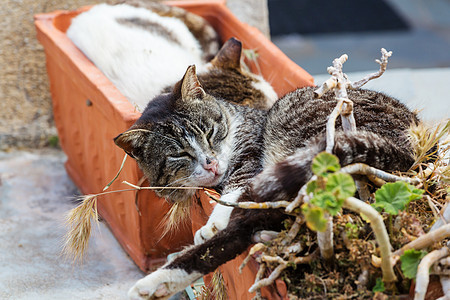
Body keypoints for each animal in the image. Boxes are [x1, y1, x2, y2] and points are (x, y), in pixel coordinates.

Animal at [116, 65, 418, 298]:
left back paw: (153, 284)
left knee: (242, 229)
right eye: (179, 154)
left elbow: (237, 188)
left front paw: (214, 222)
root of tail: (408, 154)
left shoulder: (252, 155)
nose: (210, 163)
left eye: (210, 132)